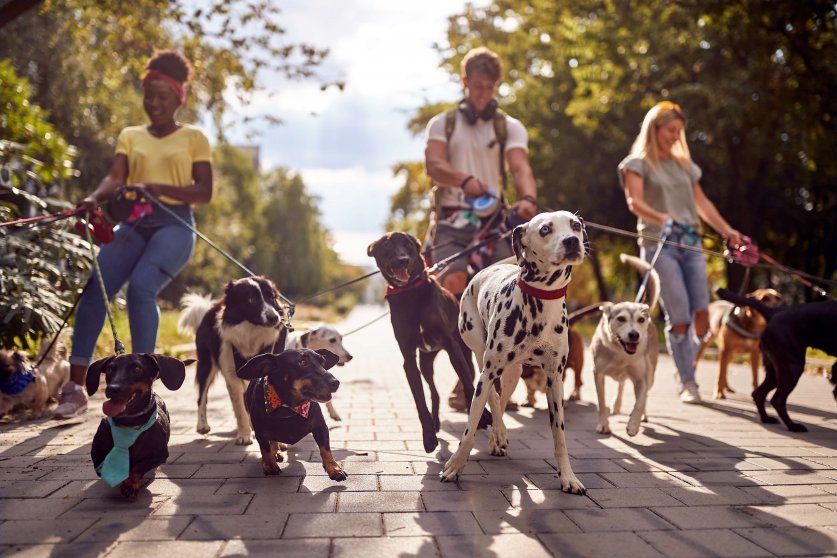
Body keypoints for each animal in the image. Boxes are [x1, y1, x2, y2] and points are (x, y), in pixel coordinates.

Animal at [86, 354, 188, 504]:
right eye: (110, 369)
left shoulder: (159, 455)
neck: (128, 424)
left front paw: (129, 485)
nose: (112, 388)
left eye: (137, 368)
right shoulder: (97, 455)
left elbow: (137, 468)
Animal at [366, 232, 490, 456]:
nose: (402, 260)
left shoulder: (451, 346)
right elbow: (420, 402)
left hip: (462, 355)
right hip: (425, 362)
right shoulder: (408, 359)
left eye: (408, 244)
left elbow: (468, 384)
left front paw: (483, 416)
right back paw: (436, 423)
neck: (410, 293)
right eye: (386, 245)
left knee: (468, 377)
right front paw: (429, 437)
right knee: (434, 392)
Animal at [438, 211, 588, 494]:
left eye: (575, 225)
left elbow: (559, 436)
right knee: (492, 396)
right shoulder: (487, 374)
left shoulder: (555, 380)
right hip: (481, 357)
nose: (572, 241)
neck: (541, 304)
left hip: (513, 373)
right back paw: (498, 434)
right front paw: (454, 466)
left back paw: (498, 435)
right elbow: (470, 429)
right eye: (545, 229)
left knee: (502, 398)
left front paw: (568, 477)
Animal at [592, 256, 656, 440]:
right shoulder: (598, 373)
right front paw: (604, 425)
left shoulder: (642, 377)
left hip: (651, 373)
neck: (622, 354)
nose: (634, 335)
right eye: (621, 319)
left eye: (641, 320)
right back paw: (616, 405)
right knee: (621, 384)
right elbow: (601, 402)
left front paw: (633, 425)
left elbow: (640, 401)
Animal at [712, 288, 836, 434]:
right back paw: (792, 426)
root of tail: (773, 313)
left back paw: (766, 418)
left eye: (779, 297)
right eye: (765, 298)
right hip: (792, 366)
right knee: (777, 400)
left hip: (776, 369)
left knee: (758, 394)